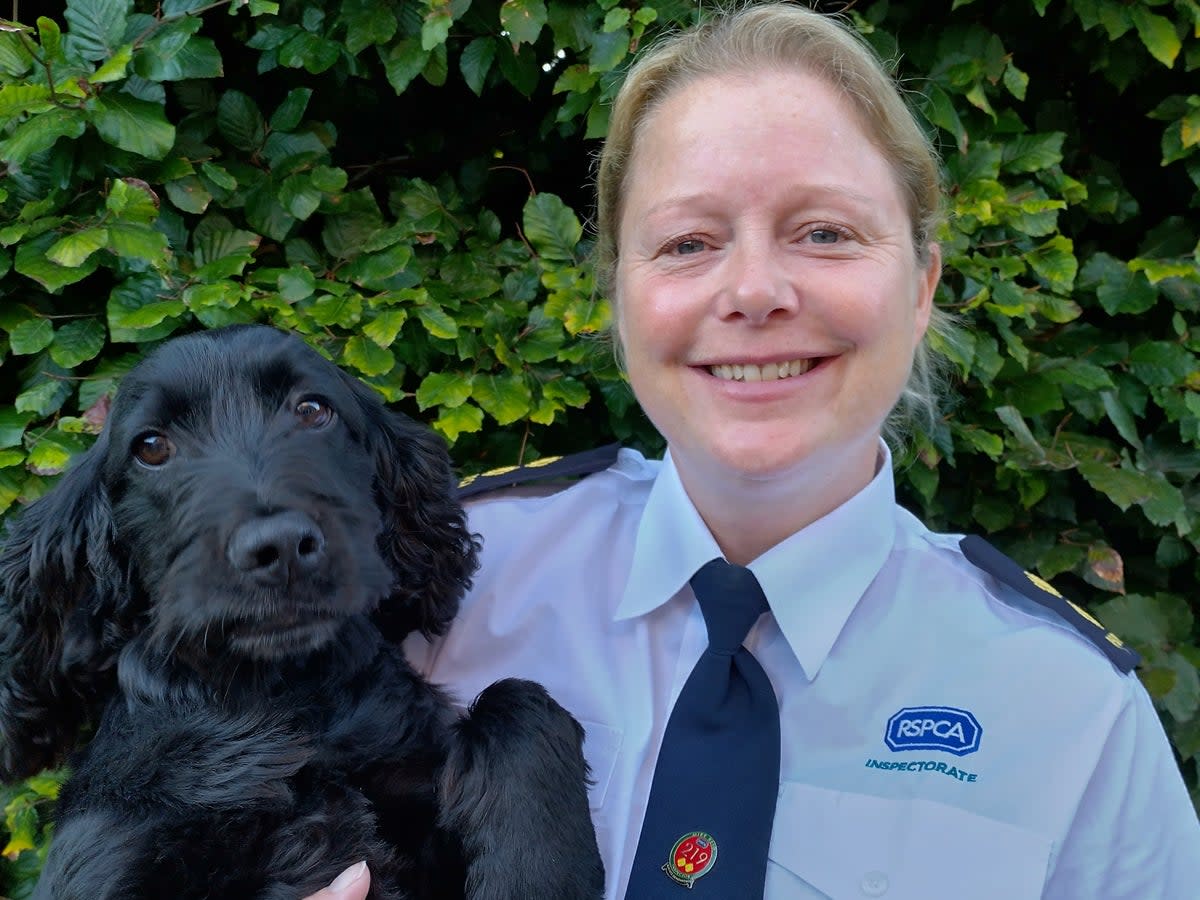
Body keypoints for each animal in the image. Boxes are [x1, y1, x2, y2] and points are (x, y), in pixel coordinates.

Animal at [0, 328, 604, 900]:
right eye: (150, 446)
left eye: (313, 410)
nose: (282, 547)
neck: (287, 698)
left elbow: (519, 697)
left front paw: (534, 877)